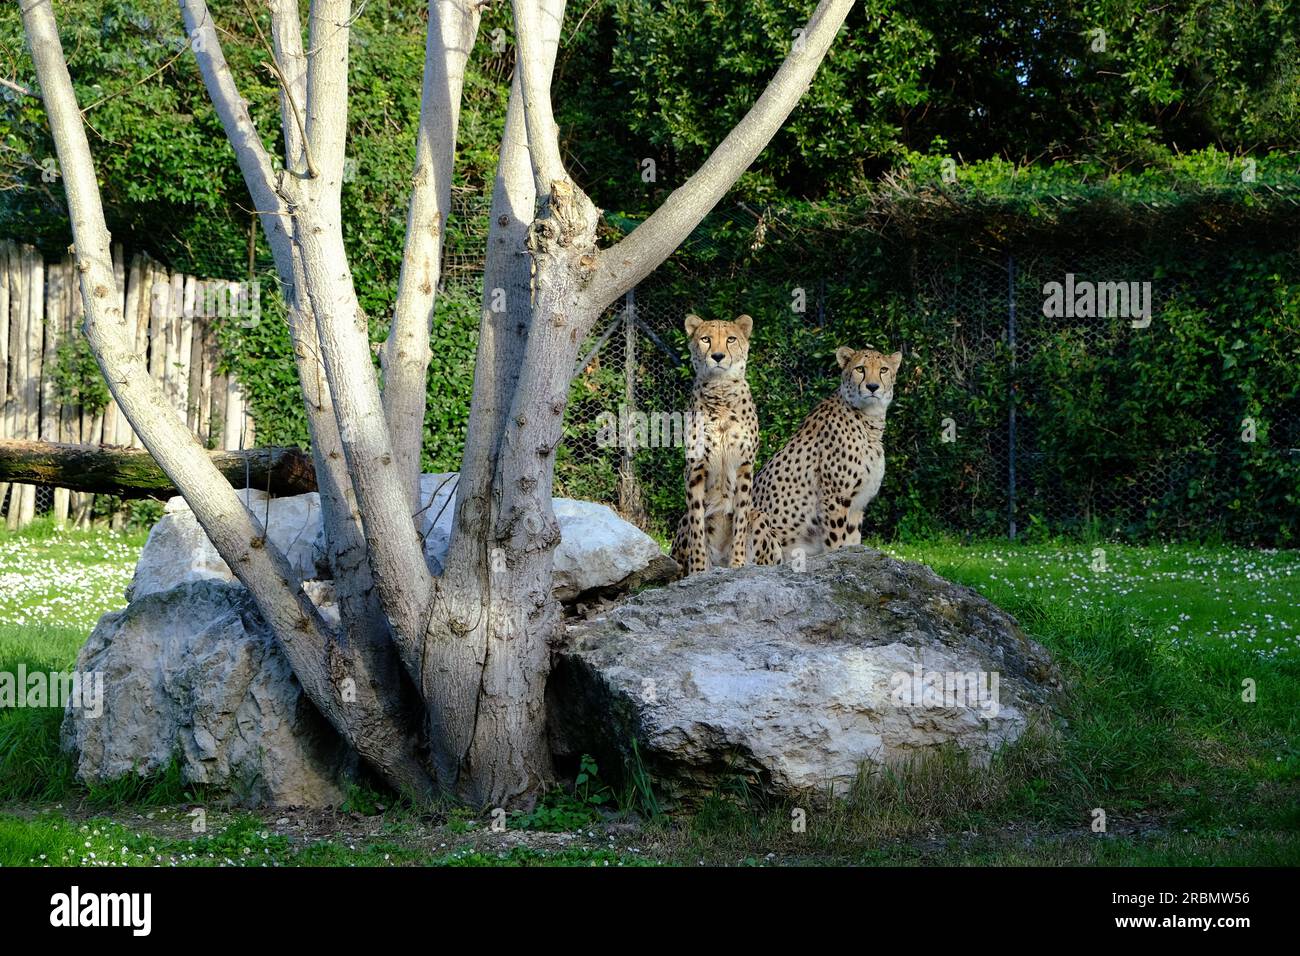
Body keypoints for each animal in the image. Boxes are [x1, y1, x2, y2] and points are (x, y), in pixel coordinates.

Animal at [670, 312, 759, 574]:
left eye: (731, 339)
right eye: (706, 339)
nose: (717, 356)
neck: (720, 394)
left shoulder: (744, 467)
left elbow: (740, 519)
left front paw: (738, 562)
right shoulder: (695, 469)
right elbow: (697, 524)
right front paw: (700, 570)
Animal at [754, 348, 904, 561]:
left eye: (883, 369)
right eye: (860, 369)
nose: (872, 387)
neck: (868, 420)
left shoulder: (857, 505)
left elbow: (852, 542)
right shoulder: (835, 498)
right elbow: (835, 542)